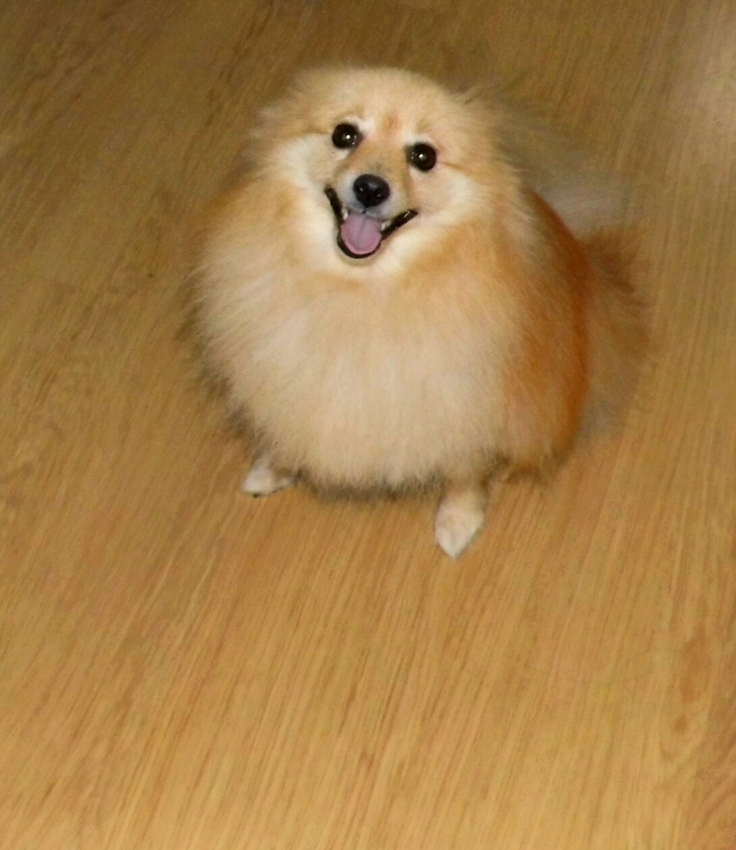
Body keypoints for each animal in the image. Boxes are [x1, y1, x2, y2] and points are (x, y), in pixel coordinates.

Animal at [195, 66, 646, 557]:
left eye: (423, 156)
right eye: (344, 134)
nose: (370, 187)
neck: (365, 289)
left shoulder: (468, 397)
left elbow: (466, 471)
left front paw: (458, 521)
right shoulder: (289, 369)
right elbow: (291, 416)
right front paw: (275, 467)